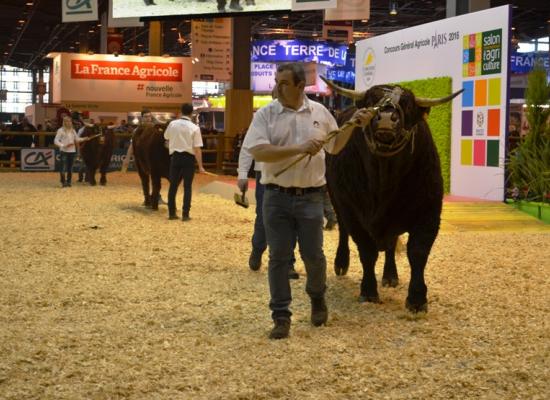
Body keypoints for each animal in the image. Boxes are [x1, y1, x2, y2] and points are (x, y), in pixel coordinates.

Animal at [322, 78, 464, 314]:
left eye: (407, 104)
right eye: (372, 101)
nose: (387, 118)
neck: (383, 180)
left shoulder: (429, 213)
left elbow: (417, 252)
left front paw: (417, 298)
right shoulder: (352, 211)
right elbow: (367, 252)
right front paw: (368, 291)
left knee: (390, 244)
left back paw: (390, 275)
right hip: (335, 199)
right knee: (342, 230)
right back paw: (341, 263)